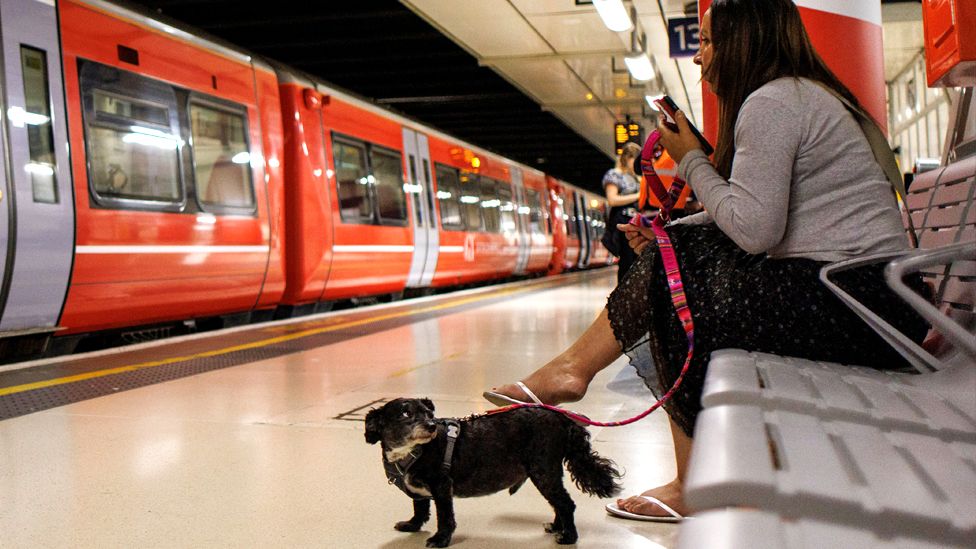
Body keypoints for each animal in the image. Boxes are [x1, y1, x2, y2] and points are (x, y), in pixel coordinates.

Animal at [362, 396, 620, 544]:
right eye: (405, 413)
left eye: (429, 413)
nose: (432, 425)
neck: (413, 452)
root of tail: (564, 420)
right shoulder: (420, 491)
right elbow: (419, 508)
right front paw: (412, 525)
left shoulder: (442, 487)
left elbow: (444, 517)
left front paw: (440, 539)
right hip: (546, 474)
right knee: (559, 503)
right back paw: (557, 527)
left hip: (543, 470)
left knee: (566, 504)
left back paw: (568, 537)